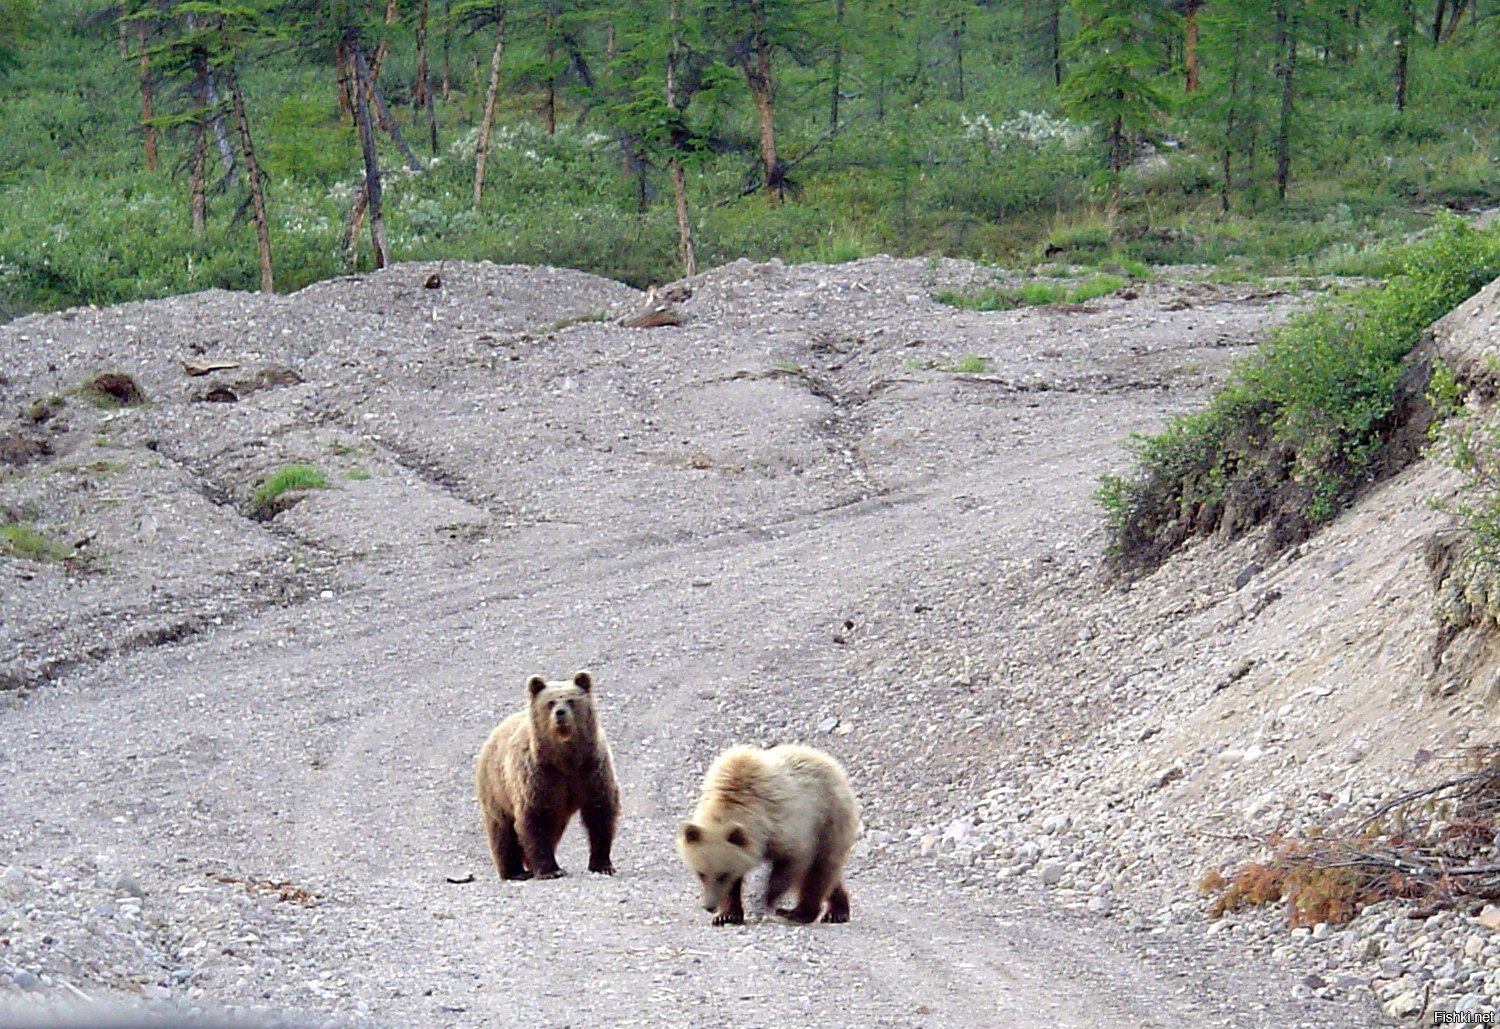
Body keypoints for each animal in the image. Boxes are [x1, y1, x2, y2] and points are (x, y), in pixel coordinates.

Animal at [480, 672, 621, 882]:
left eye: (571, 700)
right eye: (550, 702)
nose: (560, 713)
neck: (565, 760)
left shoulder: (591, 769)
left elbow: (600, 813)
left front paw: (603, 865)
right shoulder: (539, 776)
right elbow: (534, 819)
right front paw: (550, 870)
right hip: (496, 787)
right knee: (502, 829)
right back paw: (515, 871)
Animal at [675, 747, 864, 930]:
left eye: (722, 875)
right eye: (701, 874)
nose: (710, 906)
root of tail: (832, 764)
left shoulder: (786, 825)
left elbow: (792, 862)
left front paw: (762, 902)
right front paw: (726, 916)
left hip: (830, 817)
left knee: (820, 869)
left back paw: (798, 912)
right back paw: (836, 910)